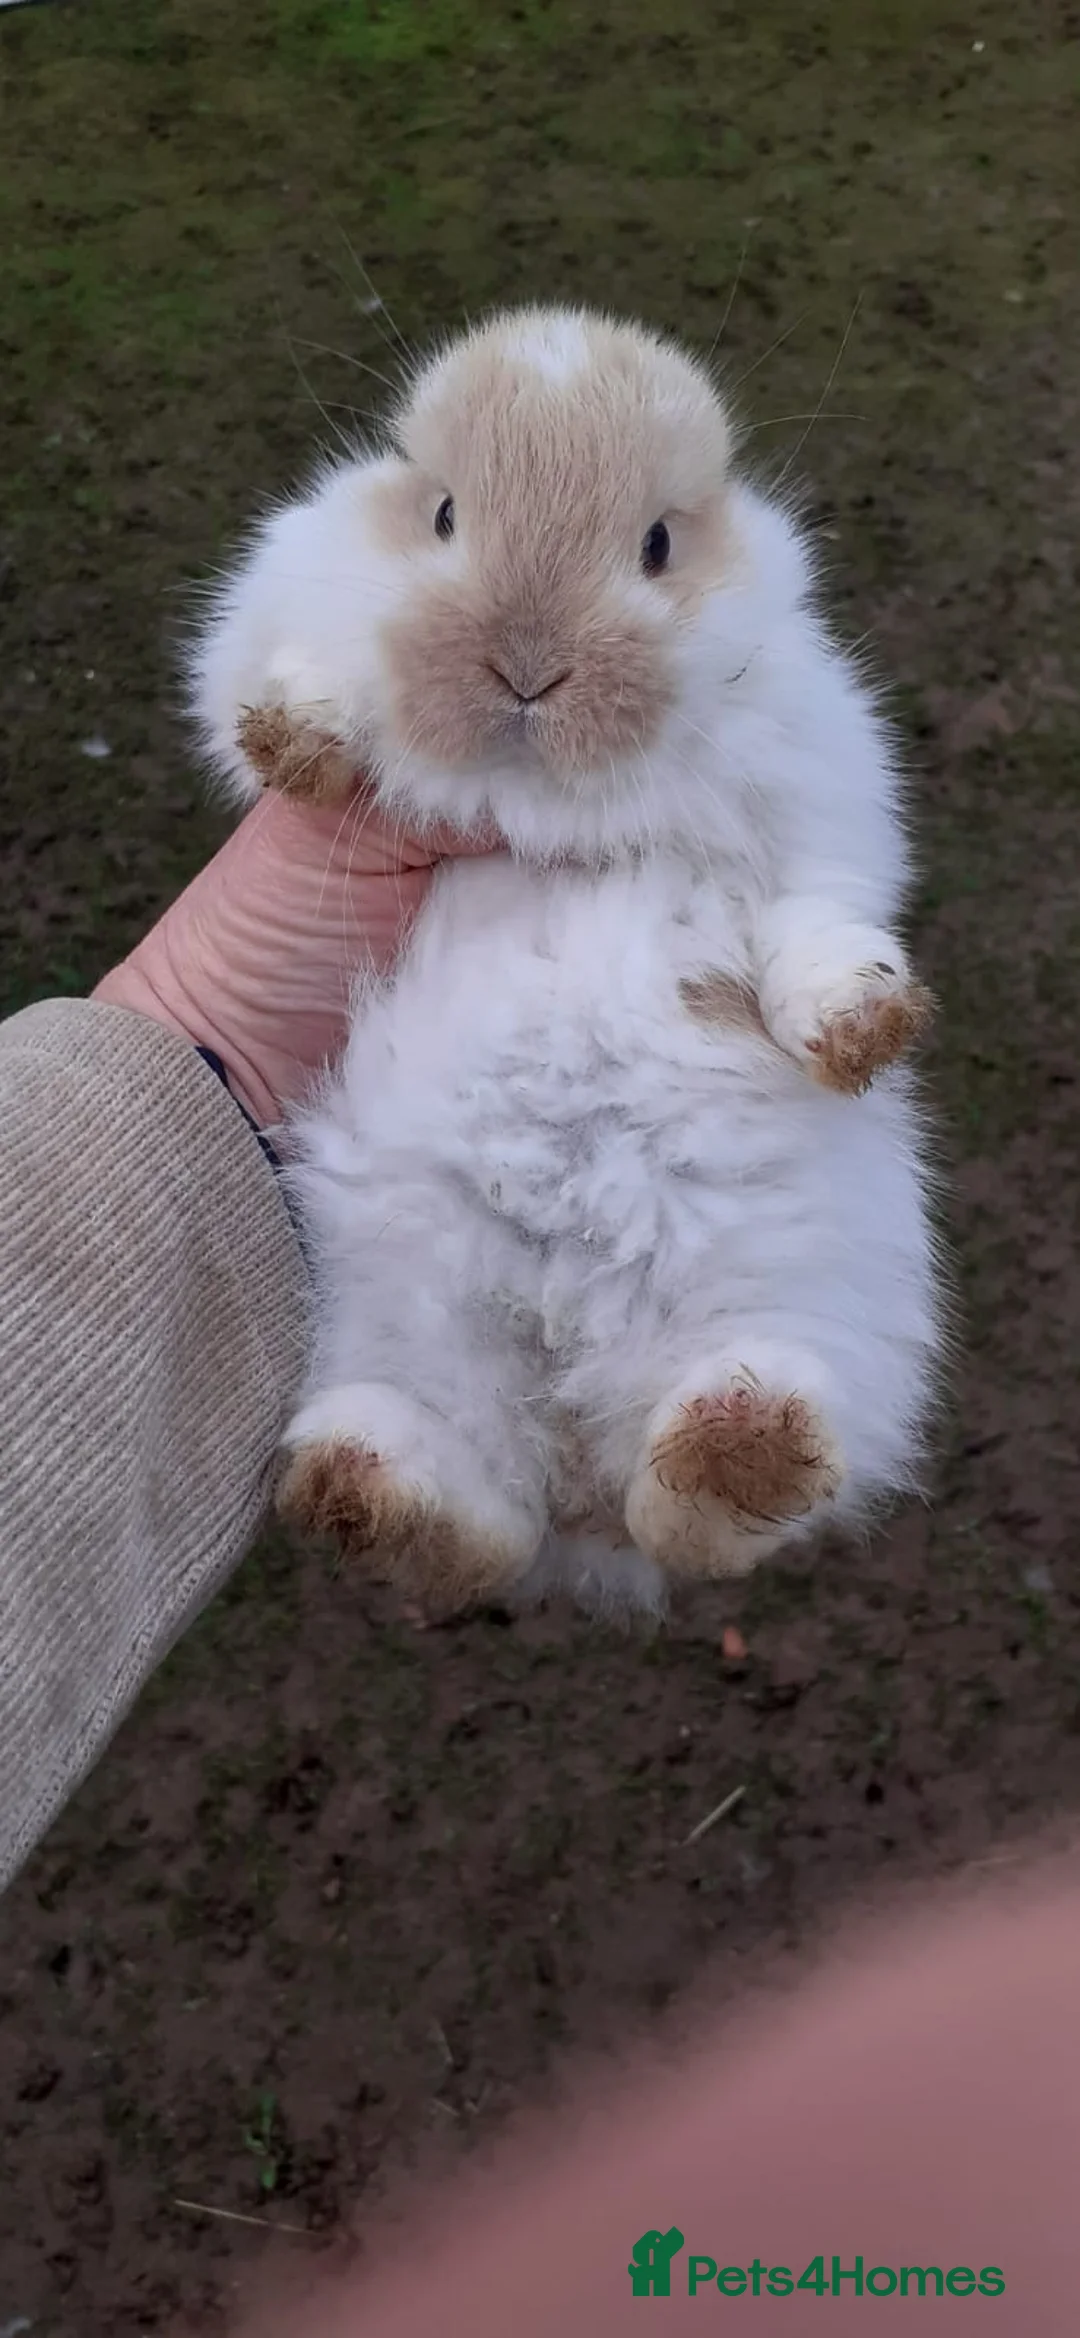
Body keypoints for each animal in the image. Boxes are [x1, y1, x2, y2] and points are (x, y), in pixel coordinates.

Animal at [189, 303, 942, 1619]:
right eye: (444, 516)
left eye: (655, 545)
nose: (526, 666)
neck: (538, 800)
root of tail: (583, 1473)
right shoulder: (270, 606)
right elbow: (266, 688)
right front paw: (304, 733)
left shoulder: (821, 784)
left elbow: (818, 916)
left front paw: (859, 1032)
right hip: (385, 1321)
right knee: (480, 1523)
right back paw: (364, 1485)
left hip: (827, 1311)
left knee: (695, 1498)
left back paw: (739, 1442)